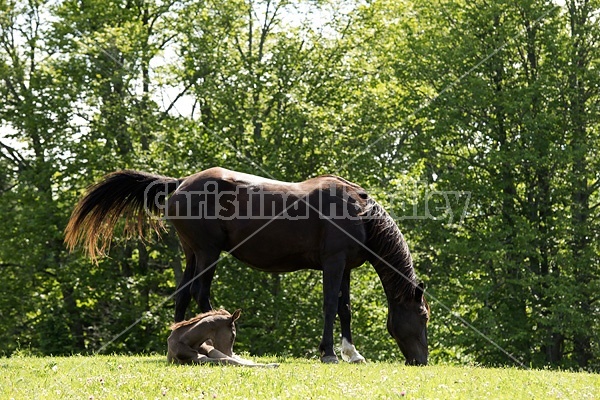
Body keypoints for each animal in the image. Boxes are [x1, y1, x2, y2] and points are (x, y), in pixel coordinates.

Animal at [64, 166, 432, 366]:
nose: (421, 360)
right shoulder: (333, 263)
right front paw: (328, 352)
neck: (359, 213)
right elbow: (330, 306)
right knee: (201, 293)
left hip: (192, 253)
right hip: (208, 252)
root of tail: (180, 183)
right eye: (423, 316)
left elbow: (344, 308)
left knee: (183, 293)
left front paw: (351, 353)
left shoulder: (346, 267)